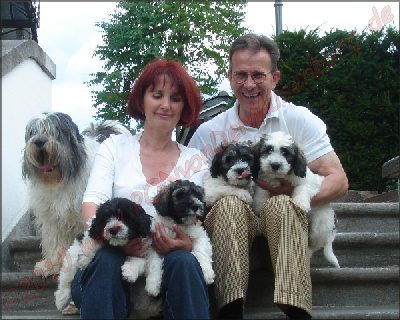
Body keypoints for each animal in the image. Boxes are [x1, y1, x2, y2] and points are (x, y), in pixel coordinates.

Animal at [252, 131, 340, 268]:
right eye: (268, 150)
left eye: (285, 152)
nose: (275, 165)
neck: (280, 177)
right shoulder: (262, 179)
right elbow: (261, 188)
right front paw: (259, 202)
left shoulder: (309, 182)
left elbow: (302, 188)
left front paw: (301, 203)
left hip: (320, 225)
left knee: (313, 244)